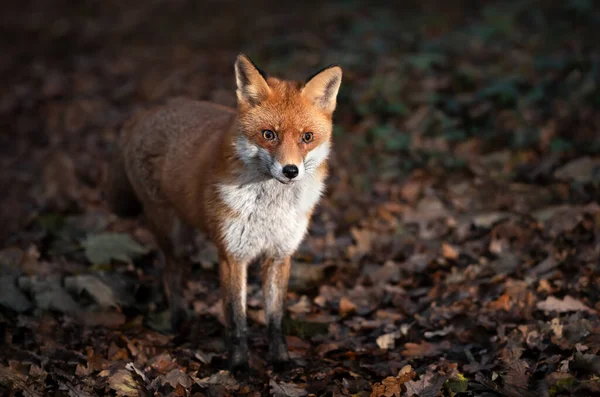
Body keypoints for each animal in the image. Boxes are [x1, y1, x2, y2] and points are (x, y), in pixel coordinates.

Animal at [106, 54, 344, 370]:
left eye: (307, 137)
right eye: (268, 134)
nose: (290, 171)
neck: (269, 209)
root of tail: (146, 114)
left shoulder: (279, 254)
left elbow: (275, 318)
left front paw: (280, 360)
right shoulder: (233, 255)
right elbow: (237, 319)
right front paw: (239, 366)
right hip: (173, 234)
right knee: (171, 273)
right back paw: (178, 320)